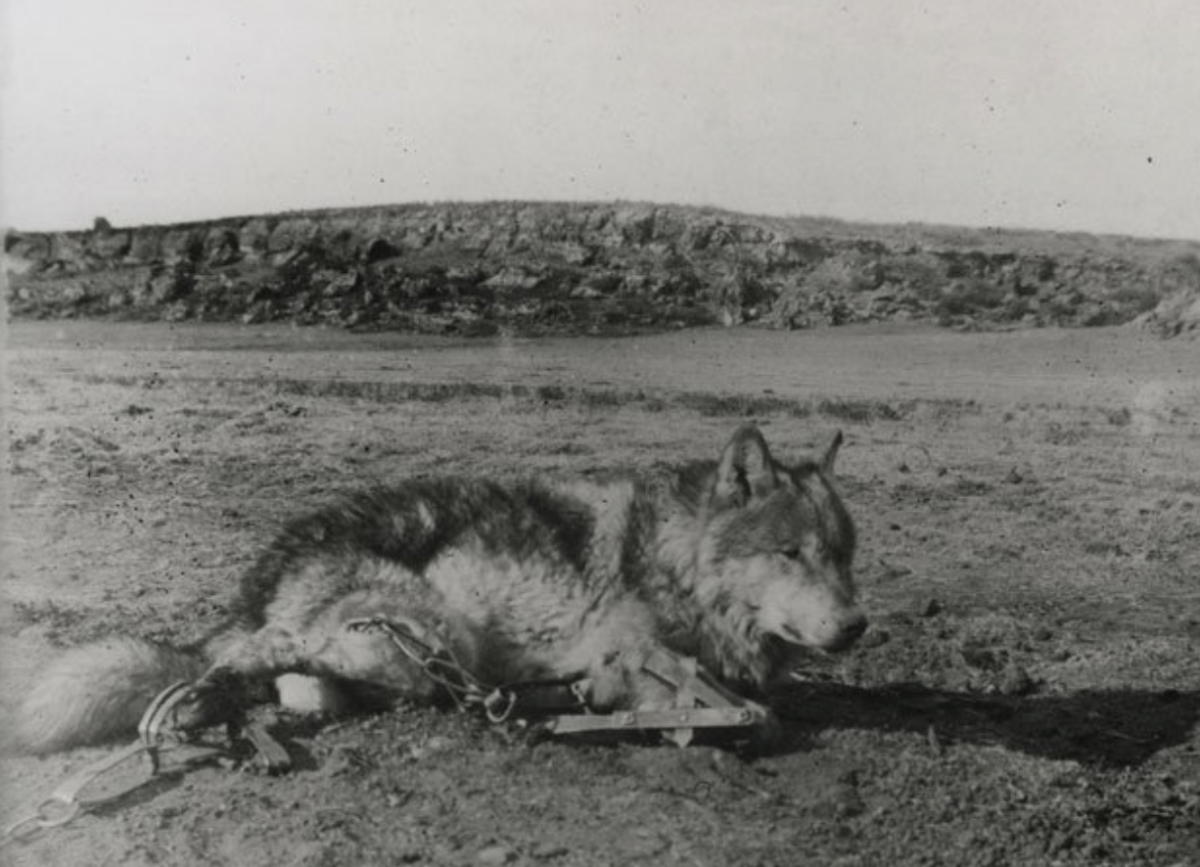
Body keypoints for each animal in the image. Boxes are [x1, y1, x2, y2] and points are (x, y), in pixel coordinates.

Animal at [16, 424, 866, 754]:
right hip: (420, 634)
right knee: (265, 659)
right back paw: (205, 692)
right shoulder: (628, 649)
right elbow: (734, 706)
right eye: (791, 553)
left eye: (845, 554)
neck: (672, 555)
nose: (859, 627)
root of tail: (267, 570)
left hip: (408, 654)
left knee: (300, 684)